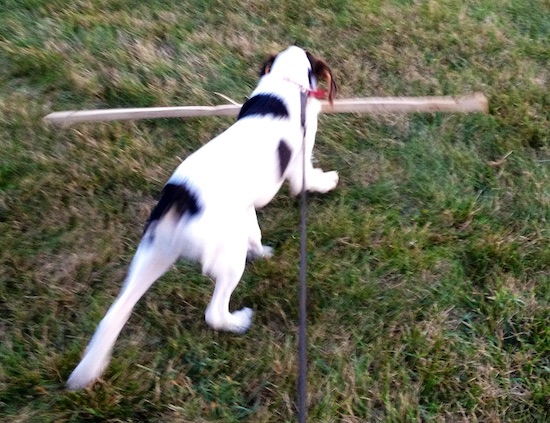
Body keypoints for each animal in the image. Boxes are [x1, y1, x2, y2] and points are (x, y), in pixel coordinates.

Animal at [67, 46, 338, 390]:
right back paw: (239, 321)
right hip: (228, 261)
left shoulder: (243, 209)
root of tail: (179, 196)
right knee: (215, 313)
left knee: (114, 314)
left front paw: (261, 252)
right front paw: (329, 181)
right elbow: (310, 181)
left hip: (153, 254)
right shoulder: (298, 168)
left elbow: (253, 231)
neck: (283, 80)